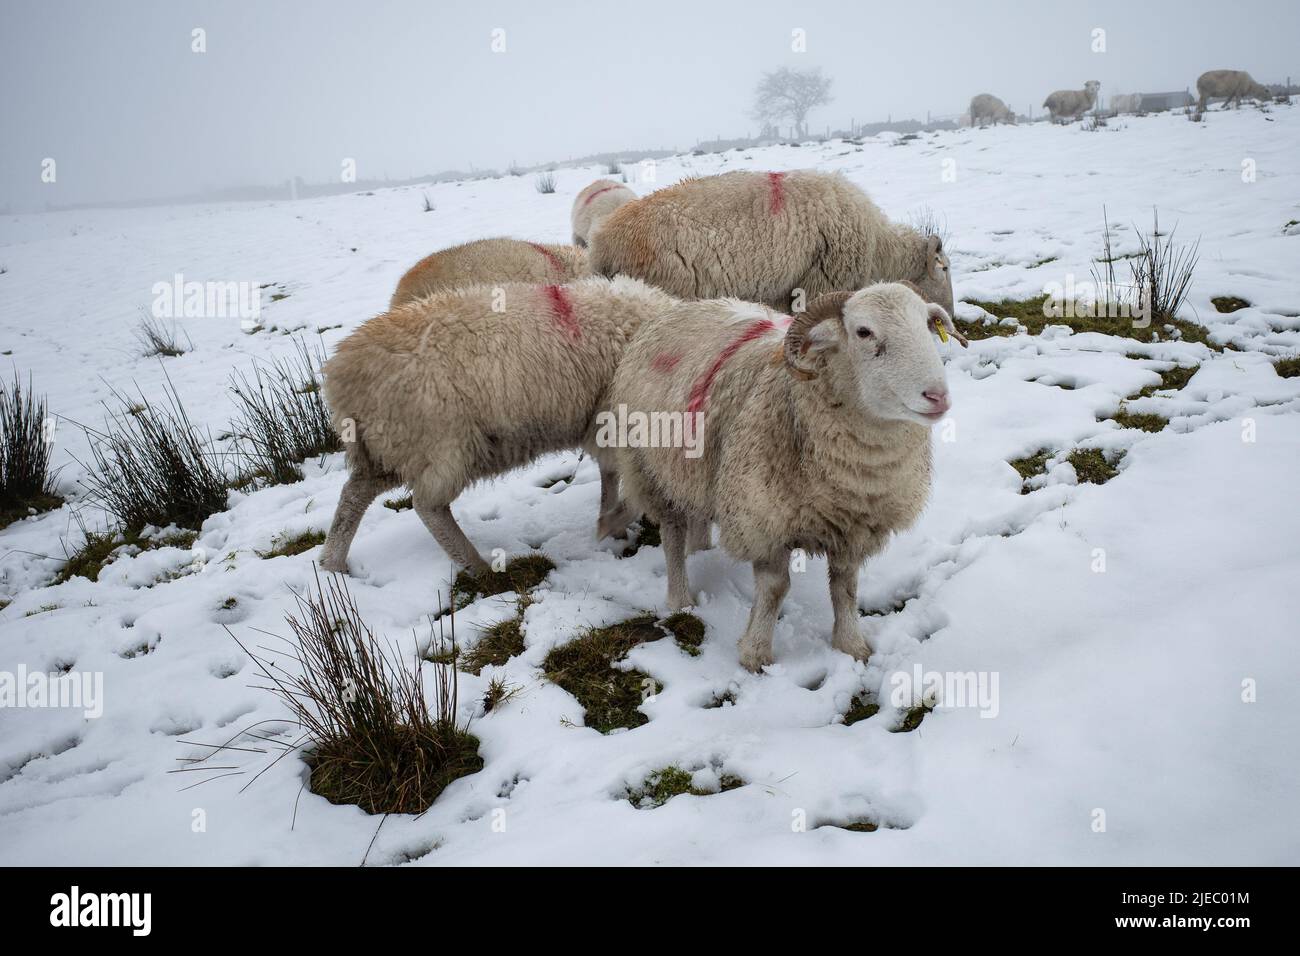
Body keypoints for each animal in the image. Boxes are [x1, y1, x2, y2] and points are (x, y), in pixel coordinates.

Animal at [319, 274, 676, 574]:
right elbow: (629, 485)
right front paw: (612, 524)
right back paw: (476, 566)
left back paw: (332, 564)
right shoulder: (618, 420)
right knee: (426, 505)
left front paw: (610, 523)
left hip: (387, 447)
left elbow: (610, 474)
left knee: (354, 495)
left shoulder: (603, 424)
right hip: (439, 445)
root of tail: (341, 374)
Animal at [590, 171, 956, 317]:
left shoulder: (787, 289)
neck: (880, 247)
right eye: (946, 268)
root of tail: (601, 242)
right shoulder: (822, 280)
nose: (952, 315)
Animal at [608, 283, 967, 671]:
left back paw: (701, 549)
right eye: (863, 332)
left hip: (695, 468)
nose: (937, 396)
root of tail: (683, 307)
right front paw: (756, 654)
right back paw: (680, 598)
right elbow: (775, 588)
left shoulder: (854, 525)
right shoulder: (764, 519)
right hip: (649, 468)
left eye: (928, 325)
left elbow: (846, 587)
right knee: (672, 534)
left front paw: (851, 645)